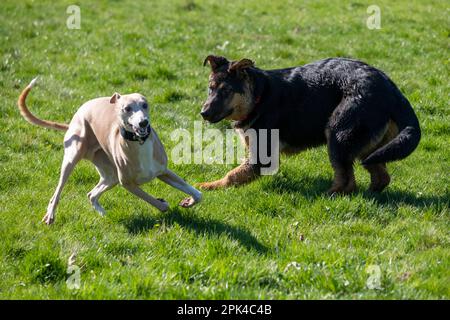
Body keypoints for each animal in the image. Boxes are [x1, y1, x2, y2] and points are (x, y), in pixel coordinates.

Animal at [199, 56, 420, 194]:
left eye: (226, 90)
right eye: (210, 88)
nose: (203, 113)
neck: (259, 97)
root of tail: (391, 89)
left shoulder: (261, 158)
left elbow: (232, 175)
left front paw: (210, 186)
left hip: (338, 133)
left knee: (347, 180)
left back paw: (329, 195)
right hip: (368, 146)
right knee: (379, 175)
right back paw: (370, 195)